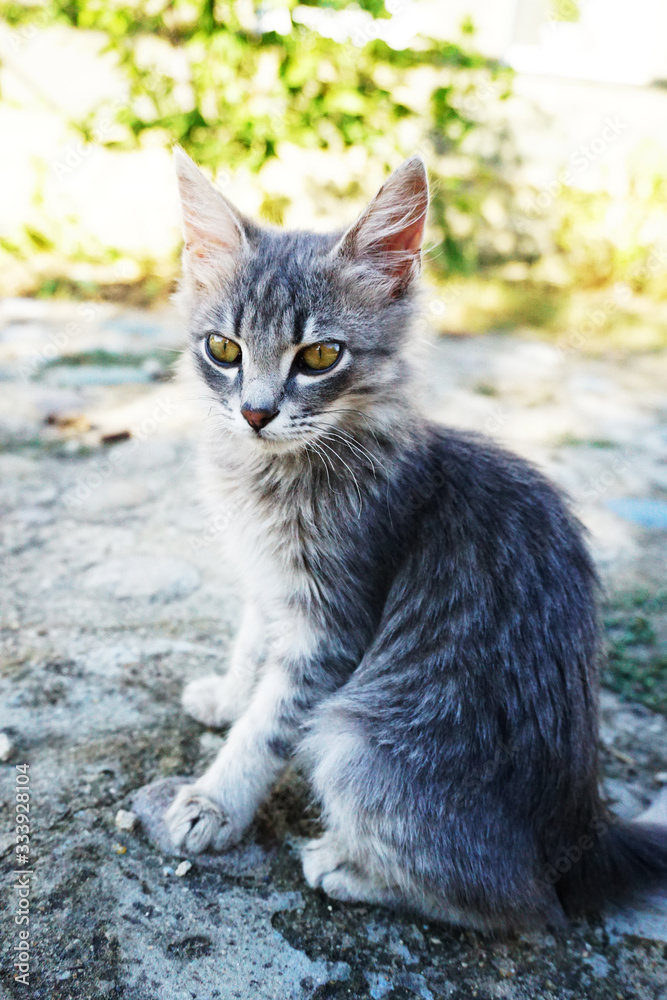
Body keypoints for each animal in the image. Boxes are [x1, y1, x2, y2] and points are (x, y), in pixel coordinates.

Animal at [163, 146, 667, 928]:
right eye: (223, 348)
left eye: (319, 357)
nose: (254, 413)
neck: (267, 477)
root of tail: (582, 836)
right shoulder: (267, 583)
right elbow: (249, 644)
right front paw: (226, 695)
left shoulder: (333, 626)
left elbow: (270, 723)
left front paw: (215, 802)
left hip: (354, 740)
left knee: (515, 907)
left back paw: (345, 867)